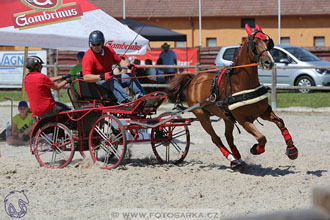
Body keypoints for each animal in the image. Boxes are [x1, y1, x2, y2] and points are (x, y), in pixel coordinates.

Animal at [166, 24, 298, 169]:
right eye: (254, 43)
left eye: (268, 42)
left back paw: (237, 158)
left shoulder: (264, 112)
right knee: (216, 138)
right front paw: (255, 149)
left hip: (227, 118)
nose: (269, 62)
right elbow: (261, 138)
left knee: (228, 137)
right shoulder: (244, 120)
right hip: (202, 117)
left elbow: (280, 122)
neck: (242, 84)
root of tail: (194, 79)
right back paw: (232, 159)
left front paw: (292, 150)